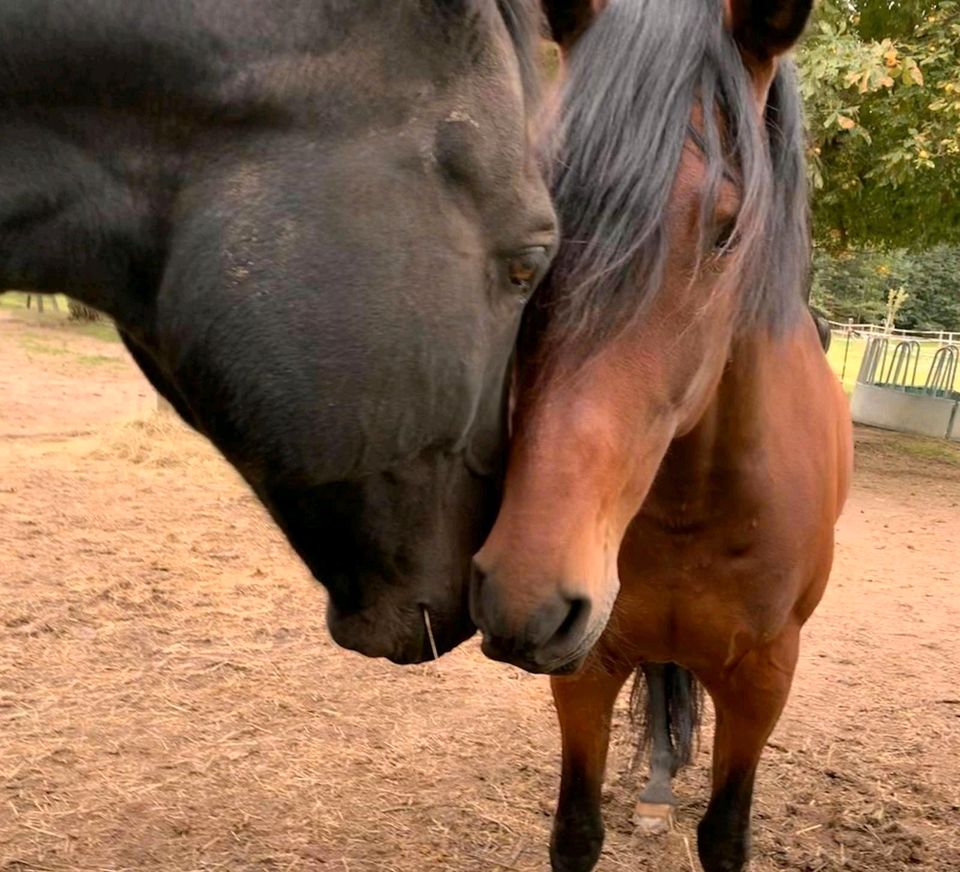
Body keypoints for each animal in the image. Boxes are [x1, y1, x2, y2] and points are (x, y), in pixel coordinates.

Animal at [468, 1, 852, 872]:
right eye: (542, 220)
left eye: (725, 229)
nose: (522, 594)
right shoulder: (586, 667)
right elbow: (576, 832)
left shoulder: (763, 680)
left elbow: (725, 837)